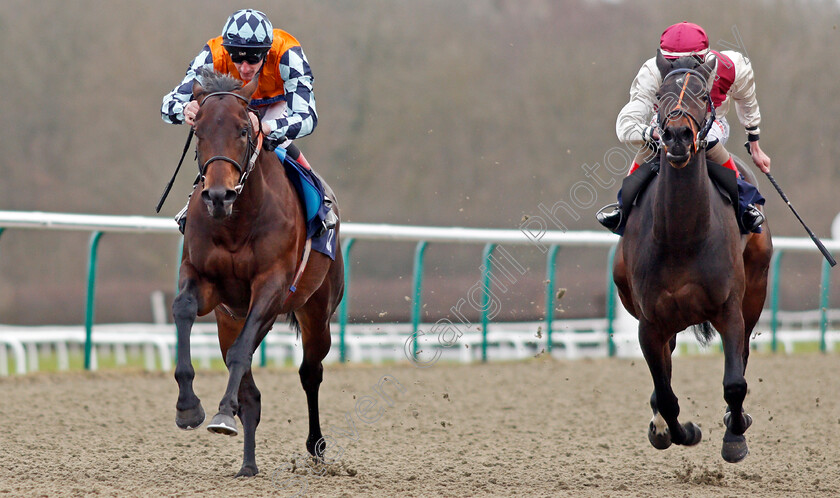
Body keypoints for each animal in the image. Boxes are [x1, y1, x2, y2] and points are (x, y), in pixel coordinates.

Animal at [172, 68, 342, 476]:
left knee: (309, 371)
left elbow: (241, 354)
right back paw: (247, 464)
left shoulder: (271, 286)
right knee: (251, 389)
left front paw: (220, 414)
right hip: (229, 319)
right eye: (199, 131)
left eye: (242, 131)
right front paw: (189, 407)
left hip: (316, 311)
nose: (219, 196)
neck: (237, 221)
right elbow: (183, 310)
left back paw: (316, 447)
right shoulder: (203, 280)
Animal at [612, 56, 776, 464]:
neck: (681, 236)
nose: (676, 136)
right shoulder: (649, 323)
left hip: (756, 291)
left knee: (744, 352)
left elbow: (735, 383)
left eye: (703, 94)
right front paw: (678, 430)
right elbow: (667, 394)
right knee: (667, 365)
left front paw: (735, 436)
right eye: (659, 94)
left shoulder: (730, 308)